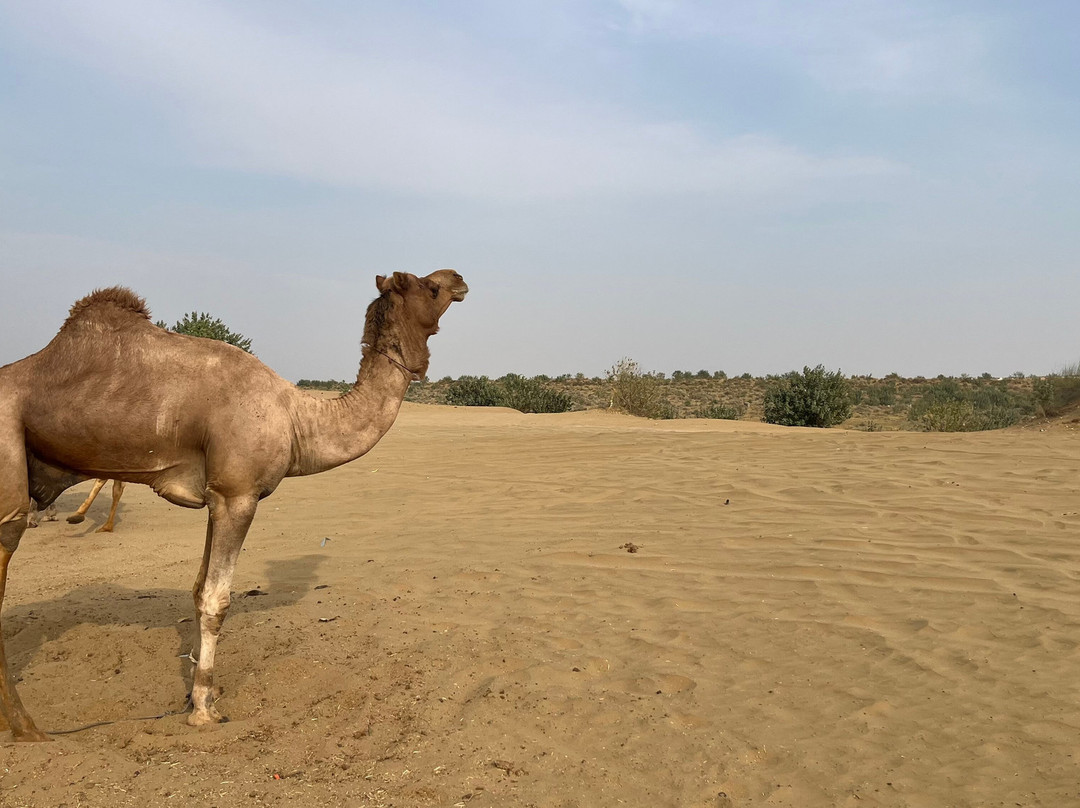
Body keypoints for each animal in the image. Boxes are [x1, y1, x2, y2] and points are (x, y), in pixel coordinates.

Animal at [0, 269, 467, 741]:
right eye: (430, 287)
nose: (459, 279)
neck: (297, 417)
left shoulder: (216, 496)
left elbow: (196, 588)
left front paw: (196, 692)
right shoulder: (237, 495)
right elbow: (215, 599)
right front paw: (205, 709)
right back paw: (27, 729)